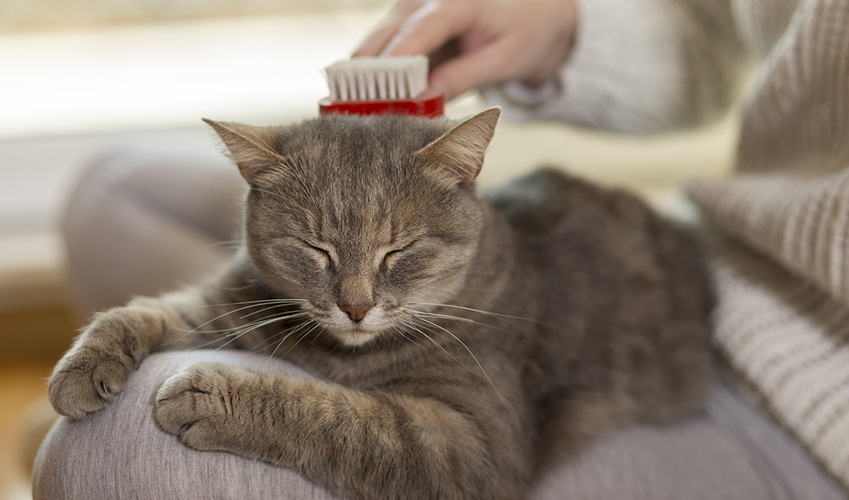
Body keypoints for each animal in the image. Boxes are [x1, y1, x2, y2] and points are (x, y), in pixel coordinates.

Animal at [46, 109, 712, 500]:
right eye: (315, 248)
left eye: (400, 250)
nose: (356, 307)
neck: (339, 354)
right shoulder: (226, 308)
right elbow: (142, 310)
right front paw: (81, 367)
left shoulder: (475, 442)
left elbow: (348, 417)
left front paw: (215, 396)